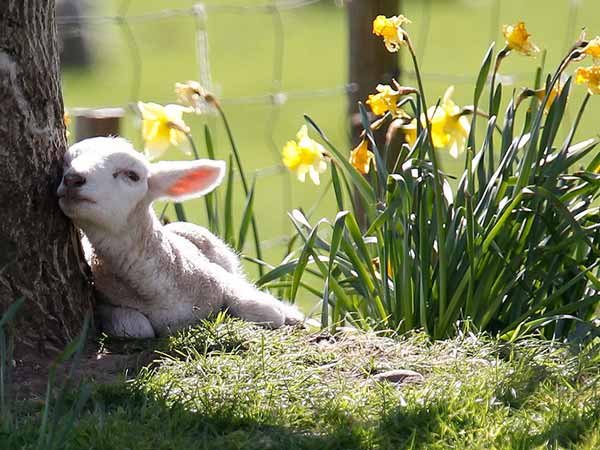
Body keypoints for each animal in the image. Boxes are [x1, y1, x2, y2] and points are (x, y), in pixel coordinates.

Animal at [57, 137, 304, 338]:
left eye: (132, 175)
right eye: (66, 163)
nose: (72, 178)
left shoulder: (219, 277)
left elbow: (267, 311)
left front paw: (286, 313)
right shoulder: (104, 301)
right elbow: (136, 327)